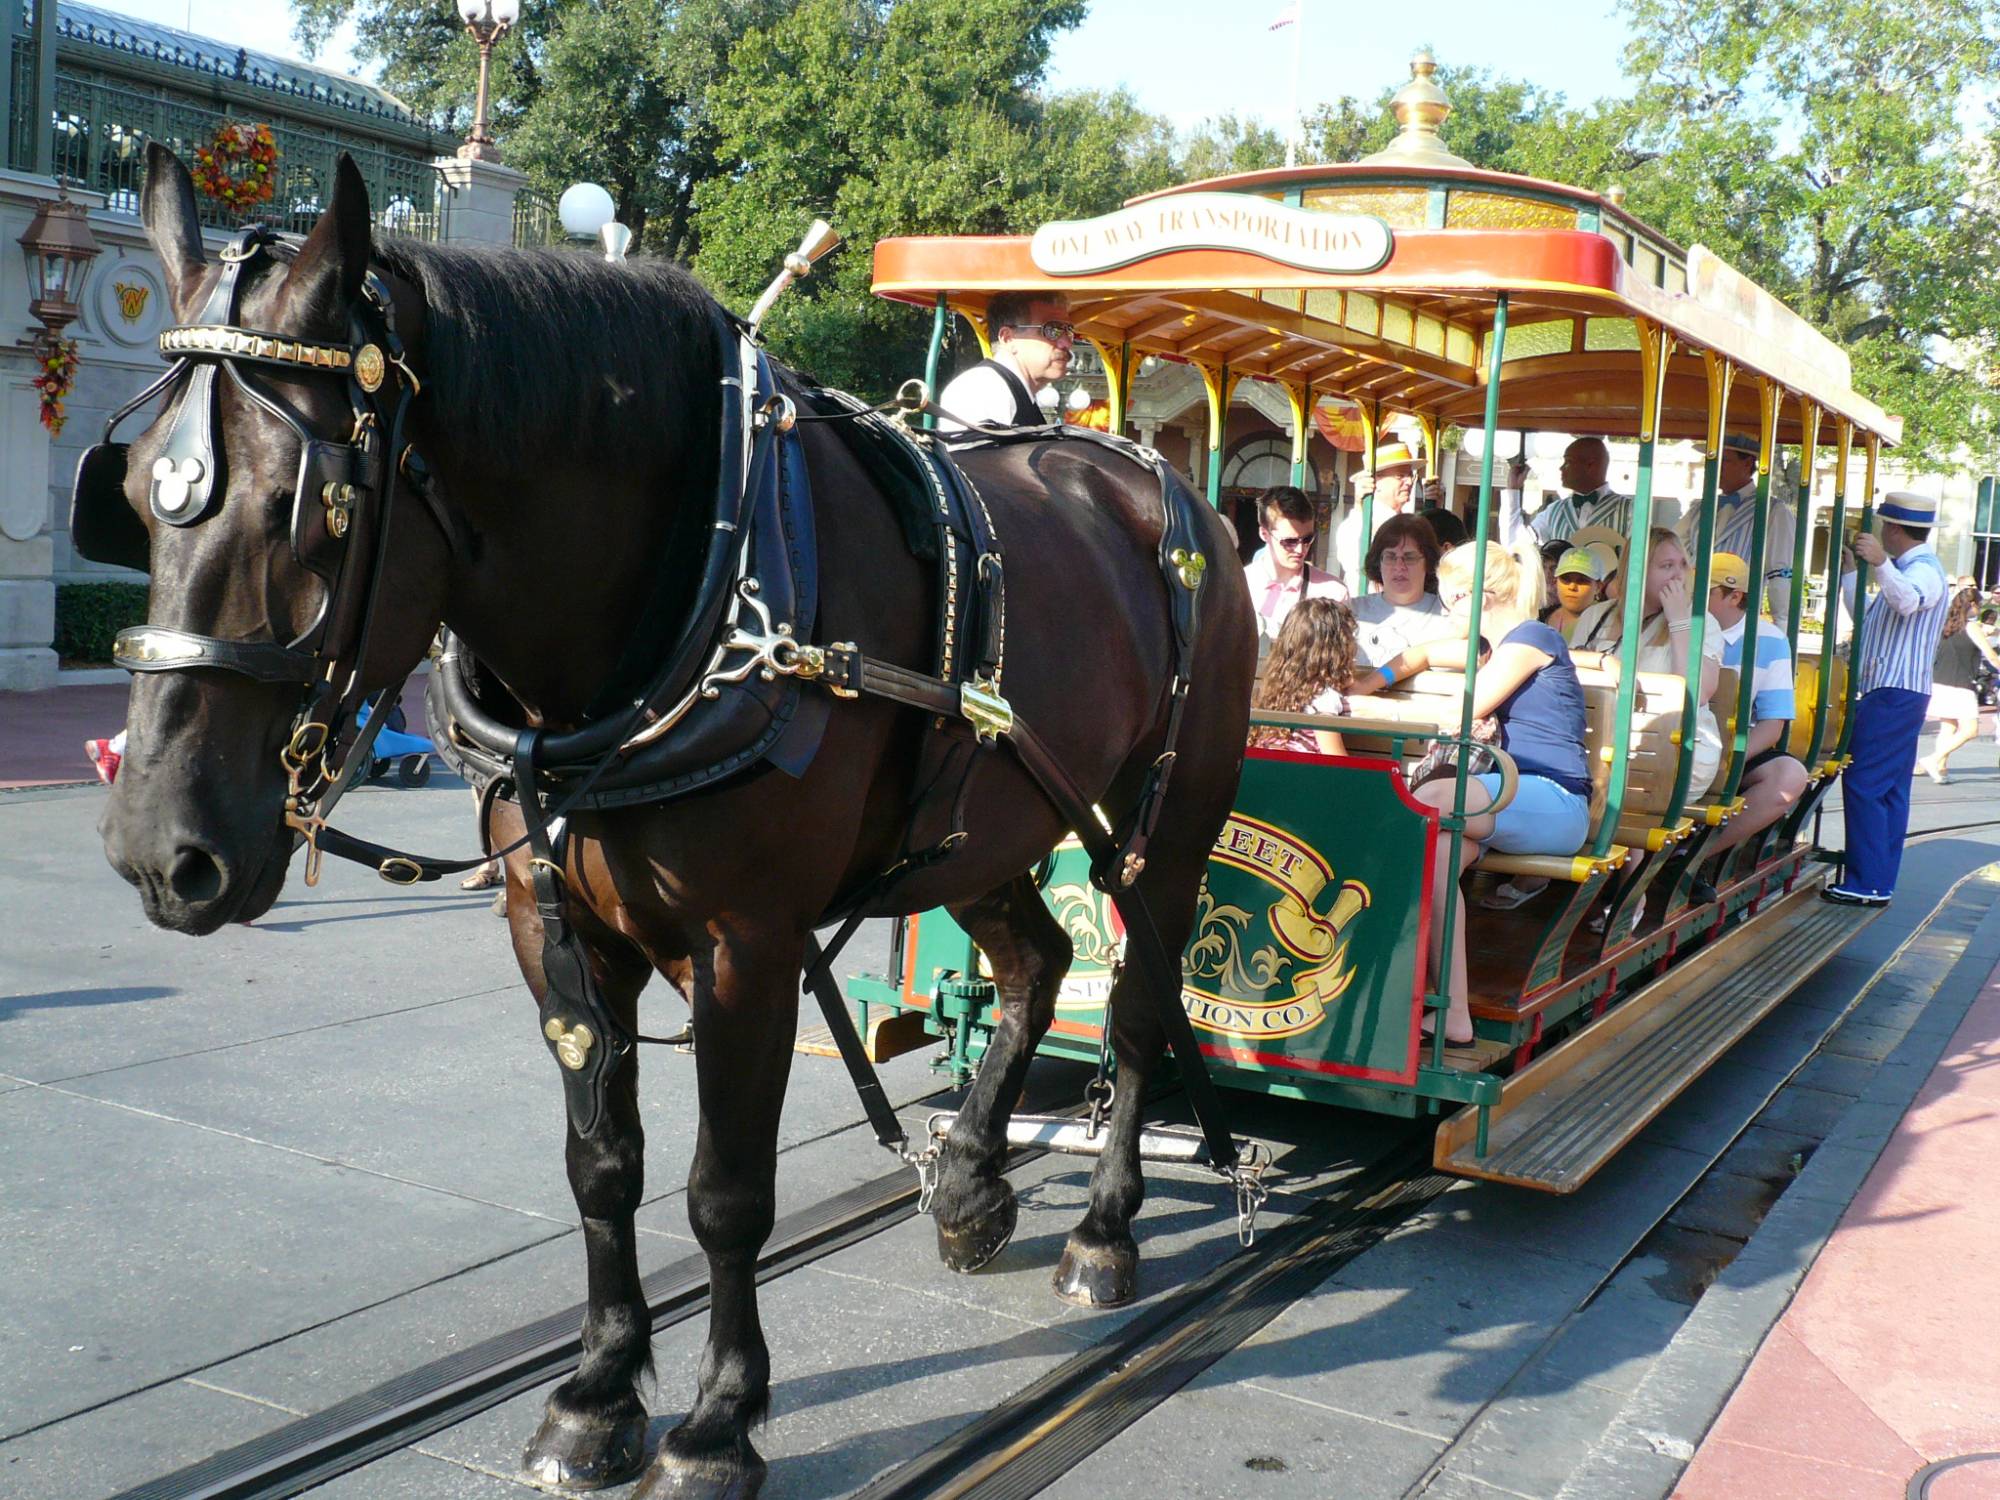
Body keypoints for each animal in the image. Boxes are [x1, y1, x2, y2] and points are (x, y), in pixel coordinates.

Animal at [97, 150, 1248, 1496]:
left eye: (308, 505)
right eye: (132, 497)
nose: (160, 853)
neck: (688, 574)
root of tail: (1162, 489)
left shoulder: (746, 943)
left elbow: (723, 1192)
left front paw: (716, 1423)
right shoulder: (553, 924)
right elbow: (603, 1170)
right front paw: (596, 1395)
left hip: (1166, 823)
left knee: (1137, 1001)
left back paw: (1106, 1229)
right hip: (984, 823)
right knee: (1037, 961)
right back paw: (968, 1185)